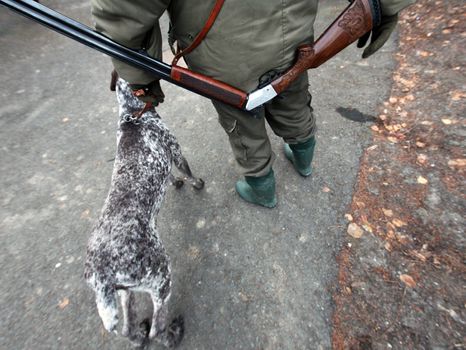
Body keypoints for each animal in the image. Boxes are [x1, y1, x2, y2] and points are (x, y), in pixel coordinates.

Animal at [84, 78, 204, 348]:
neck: (132, 115)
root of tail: (102, 274)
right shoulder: (176, 152)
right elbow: (187, 172)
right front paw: (196, 184)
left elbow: (170, 177)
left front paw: (176, 183)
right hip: (160, 279)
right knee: (157, 327)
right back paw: (172, 334)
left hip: (125, 293)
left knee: (127, 328)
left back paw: (138, 335)